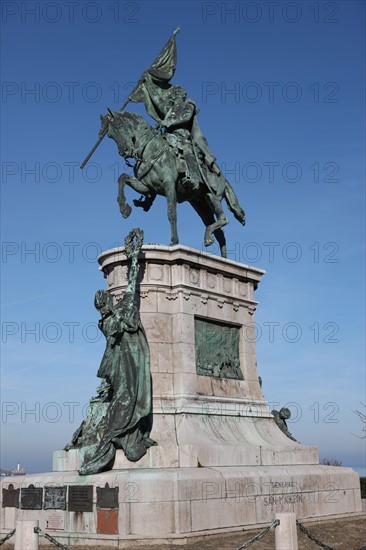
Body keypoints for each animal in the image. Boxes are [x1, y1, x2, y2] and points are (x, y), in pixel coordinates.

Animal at [99, 111, 246, 258]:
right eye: (110, 135)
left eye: (120, 126)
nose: (124, 151)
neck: (149, 150)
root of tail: (222, 177)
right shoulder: (146, 187)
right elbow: (122, 178)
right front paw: (124, 209)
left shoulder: (168, 184)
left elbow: (171, 213)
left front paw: (174, 242)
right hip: (200, 205)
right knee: (219, 232)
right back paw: (221, 255)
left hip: (211, 196)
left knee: (223, 218)